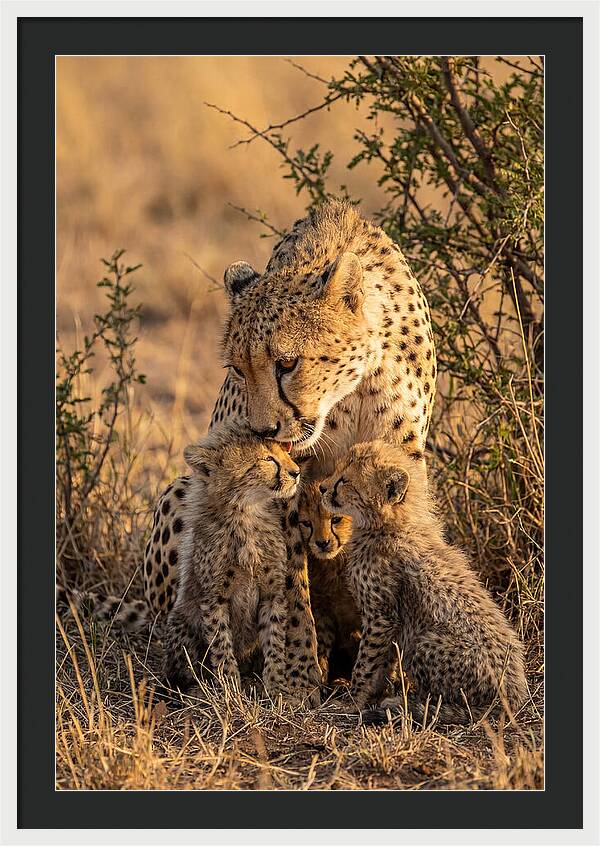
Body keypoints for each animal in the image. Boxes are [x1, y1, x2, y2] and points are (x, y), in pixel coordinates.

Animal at [161, 422, 310, 702]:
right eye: (268, 459)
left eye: (284, 452)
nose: (296, 472)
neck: (246, 514)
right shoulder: (214, 598)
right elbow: (221, 645)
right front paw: (229, 689)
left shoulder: (272, 593)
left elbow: (274, 640)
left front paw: (276, 687)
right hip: (180, 622)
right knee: (184, 666)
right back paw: (197, 688)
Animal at [298, 481, 360, 684]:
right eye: (307, 523)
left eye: (336, 519)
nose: (322, 543)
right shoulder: (323, 608)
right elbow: (322, 643)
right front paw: (321, 677)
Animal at [320, 440, 528, 725]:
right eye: (336, 471)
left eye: (344, 481)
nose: (322, 487)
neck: (390, 524)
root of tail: (514, 696)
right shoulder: (389, 621)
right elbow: (382, 663)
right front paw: (373, 694)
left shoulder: (381, 616)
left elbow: (367, 662)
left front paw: (353, 700)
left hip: (424, 642)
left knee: (454, 704)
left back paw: (408, 705)